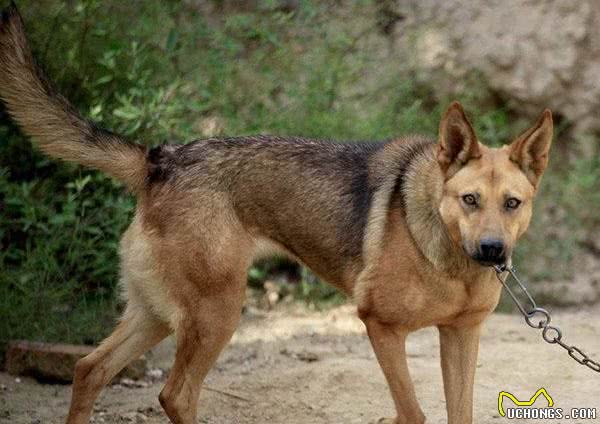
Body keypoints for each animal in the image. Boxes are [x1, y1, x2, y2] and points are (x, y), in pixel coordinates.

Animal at [0, 4, 552, 424]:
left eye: (512, 203)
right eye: (469, 200)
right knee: (174, 394)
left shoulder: (461, 335)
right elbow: (413, 413)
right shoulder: (381, 327)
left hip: (156, 314)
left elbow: (459, 412)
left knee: (89, 369)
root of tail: (160, 159)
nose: (492, 250)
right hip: (216, 314)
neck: (449, 260)